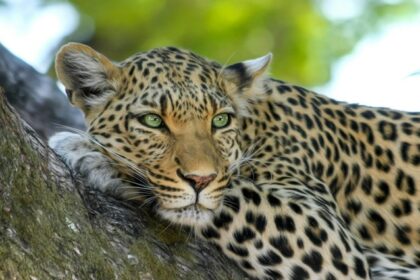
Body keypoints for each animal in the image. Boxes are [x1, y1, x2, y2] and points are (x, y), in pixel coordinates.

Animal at [50, 42, 420, 278]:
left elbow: (233, 193)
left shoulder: (331, 240)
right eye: (153, 121)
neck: (256, 127)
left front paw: (92, 154)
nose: (200, 180)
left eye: (220, 121)